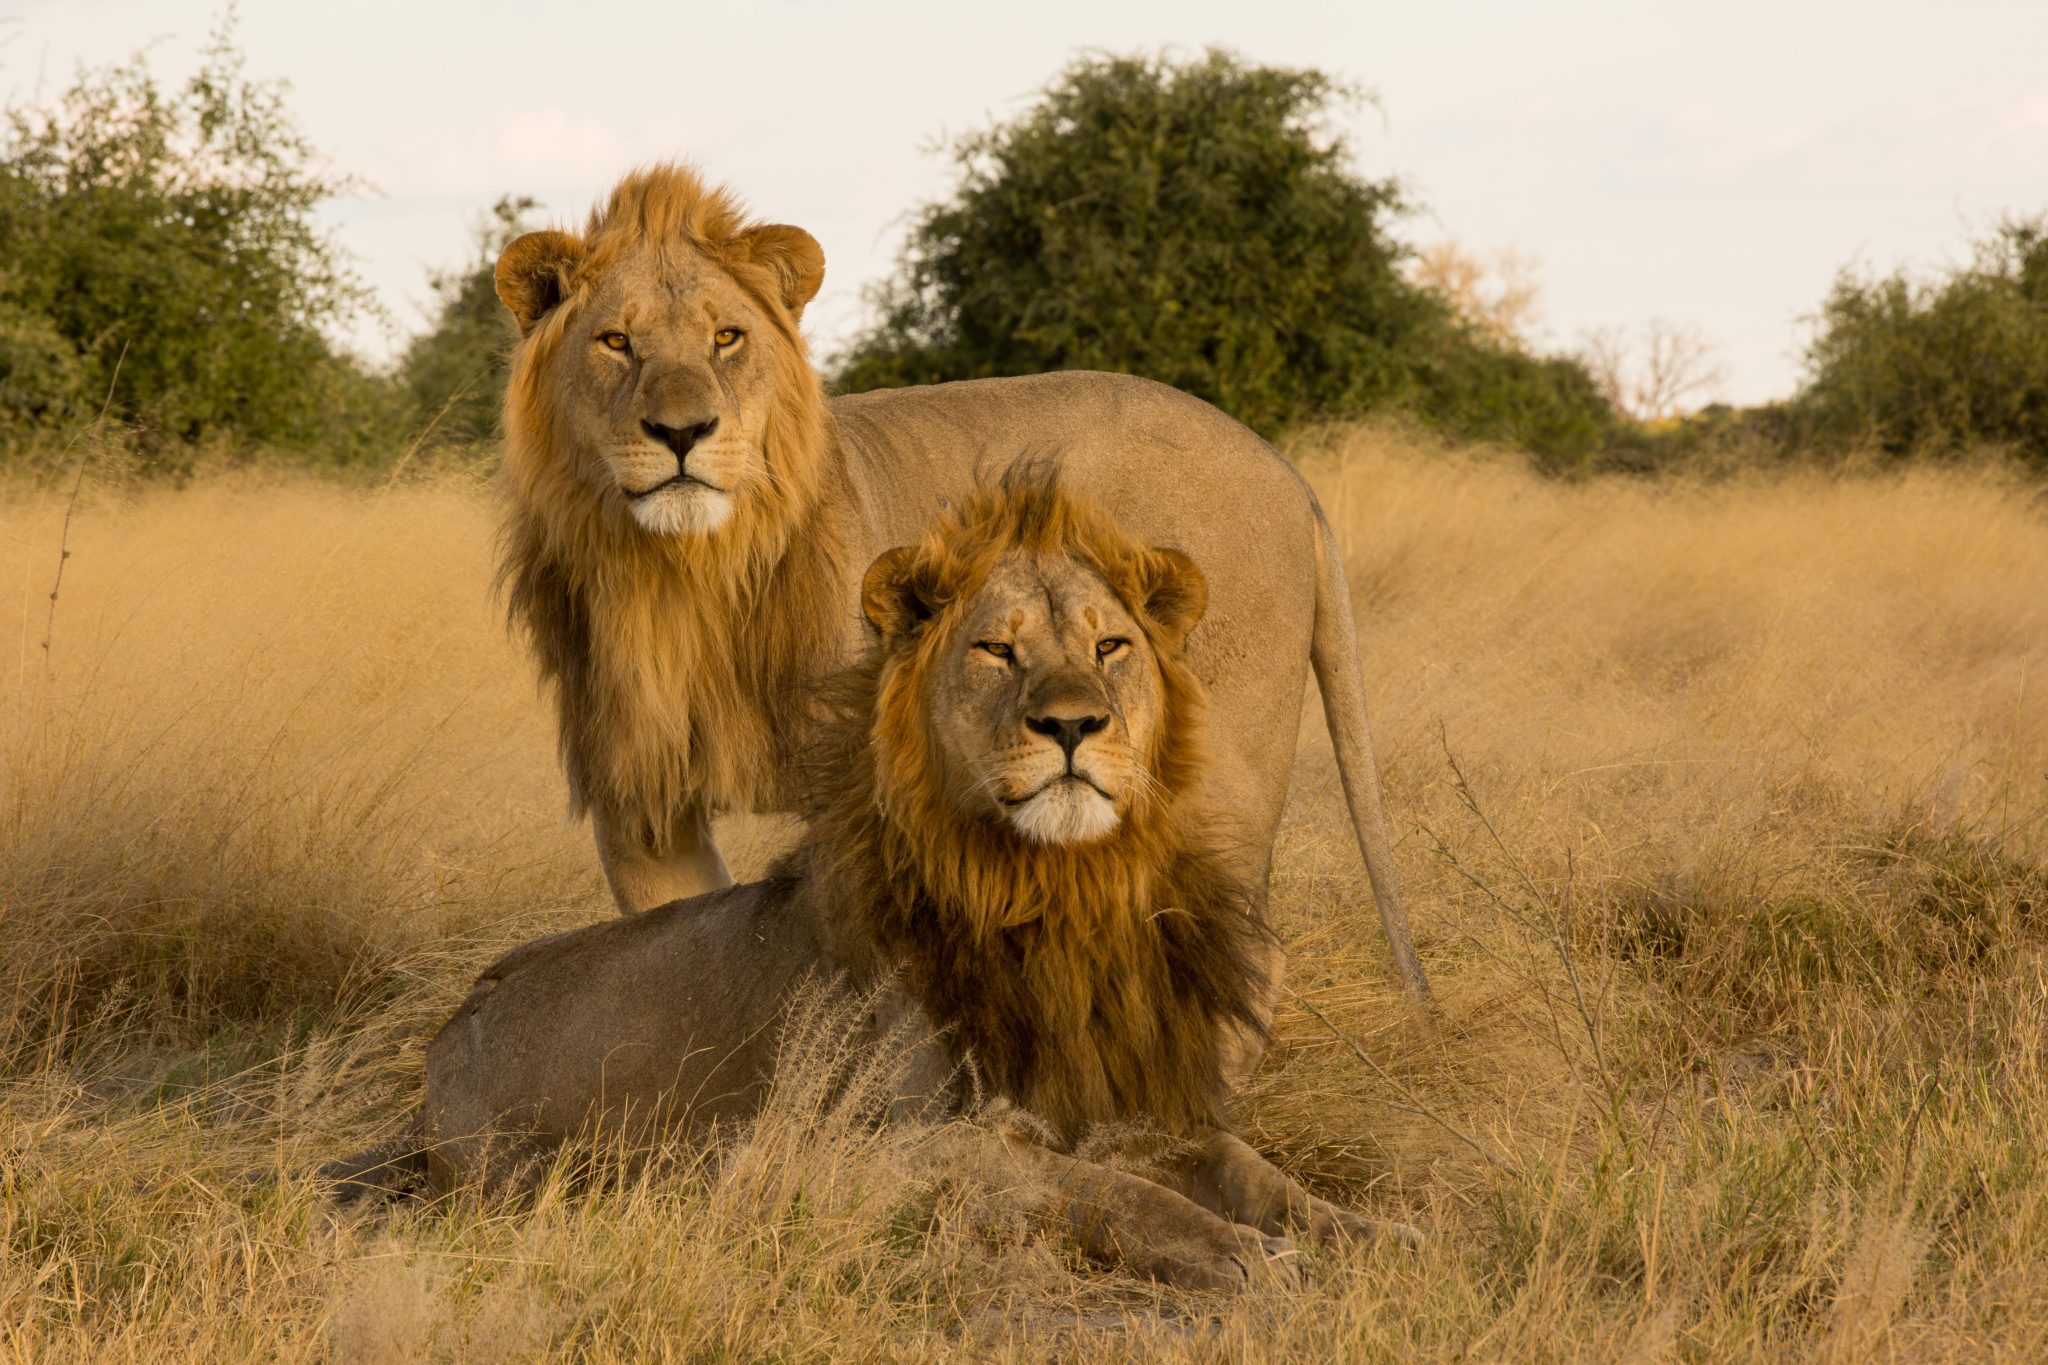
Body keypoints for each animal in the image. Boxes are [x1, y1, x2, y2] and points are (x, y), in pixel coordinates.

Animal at [323, 480, 1409, 1293]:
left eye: (1112, 648)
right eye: (996, 649)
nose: (1072, 725)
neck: (1058, 899)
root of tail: (450, 1031)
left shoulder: (1134, 1106)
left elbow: (1249, 1168)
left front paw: (1367, 1232)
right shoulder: (881, 1152)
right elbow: (1108, 1193)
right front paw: (1245, 1255)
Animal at [499, 162, 1425, 1002]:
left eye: (727, 338)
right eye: (615, 342)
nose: (683, 431)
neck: (684, 574)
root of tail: (1285, 468)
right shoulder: (641, 809)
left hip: (1212, 763)